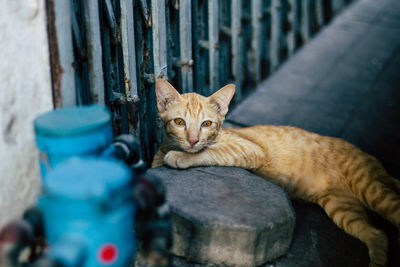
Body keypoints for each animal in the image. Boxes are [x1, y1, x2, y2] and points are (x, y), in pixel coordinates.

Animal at [152, 78, 400, 266]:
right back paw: (378, 260)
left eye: (206, 124)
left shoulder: (249, 149)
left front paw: (181, 156)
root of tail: (372, 159)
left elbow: (211, 152)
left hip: (369, 187)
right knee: (377, 234)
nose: (193, 140)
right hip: (342, 207)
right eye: (179, 122)